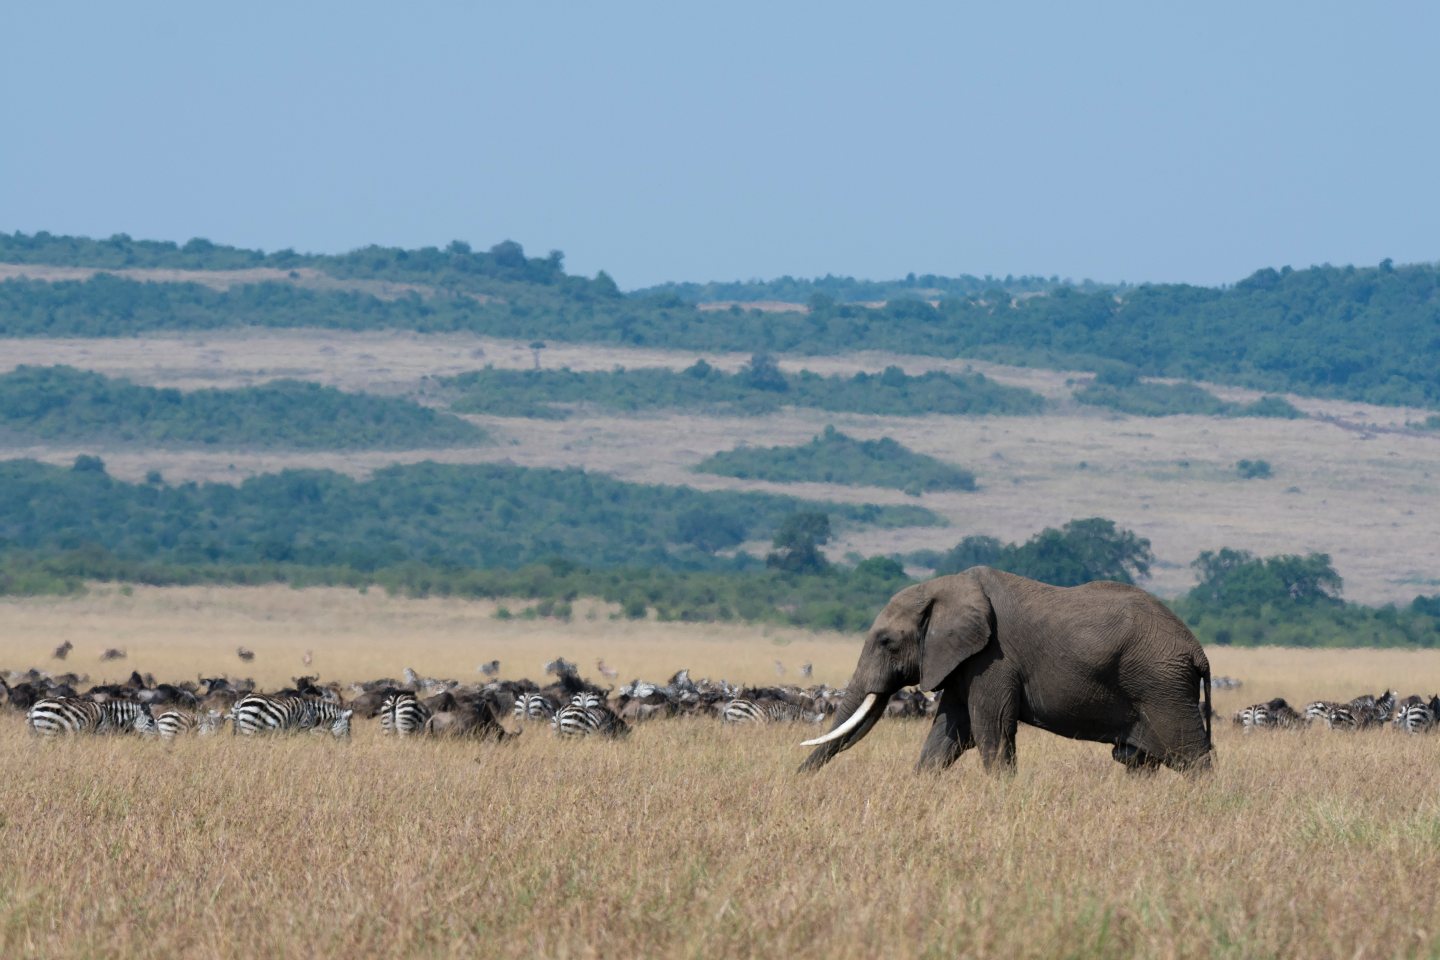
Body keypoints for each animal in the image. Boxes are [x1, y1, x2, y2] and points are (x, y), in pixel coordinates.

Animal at [799, 567, 1213, 775]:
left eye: (886, 641)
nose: (798, 779)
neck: (947, 587)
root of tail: (1199, 652)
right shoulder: (964, 661)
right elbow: (948, 735)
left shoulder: (993, 659)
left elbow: (990, 732)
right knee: (1141, 761)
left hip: (1162, 686)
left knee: (1193, 757)